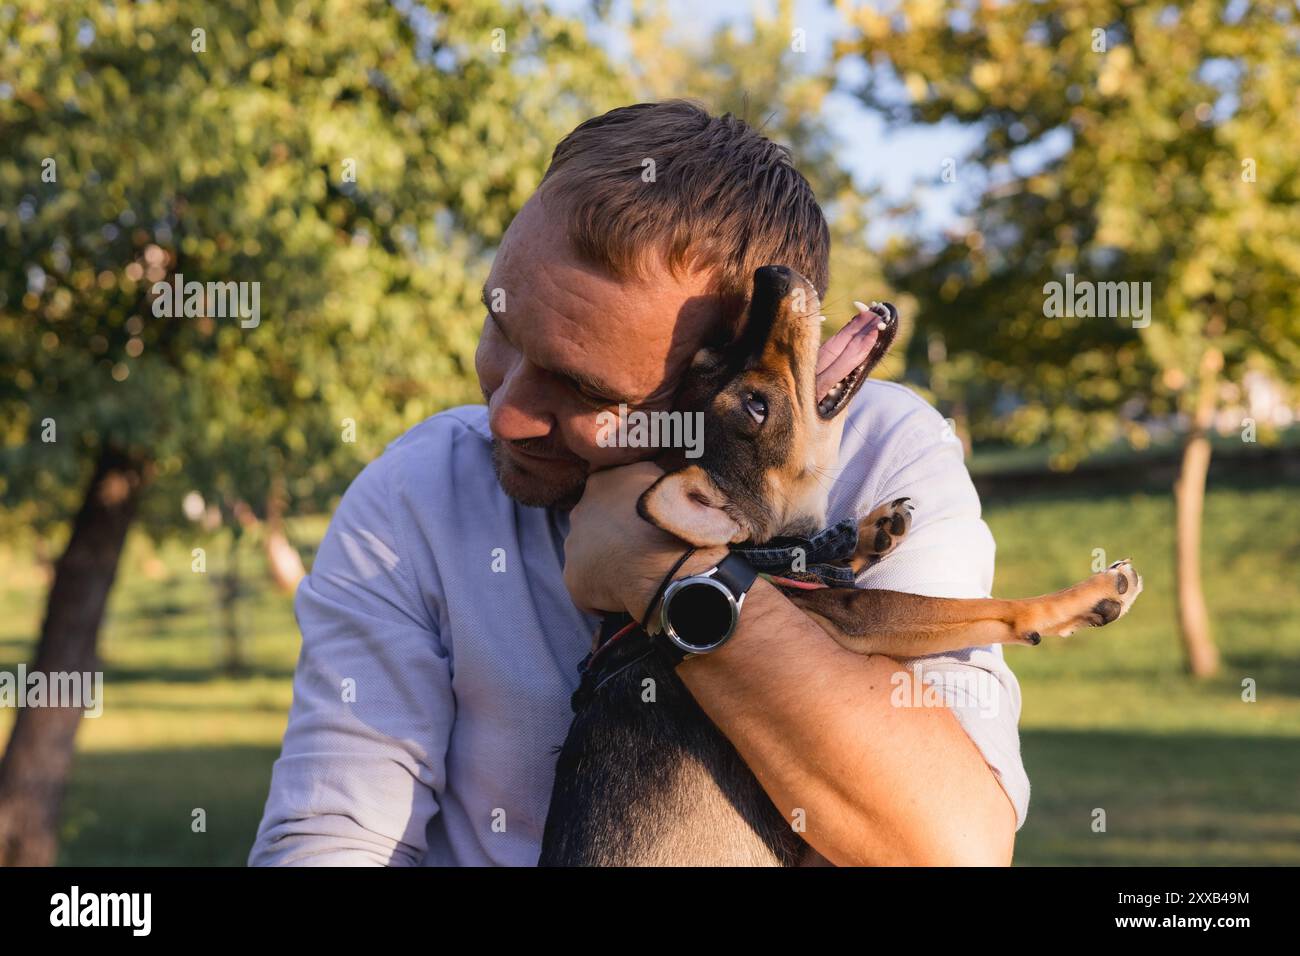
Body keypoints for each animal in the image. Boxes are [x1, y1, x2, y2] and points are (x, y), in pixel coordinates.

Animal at [538, 264, 1138, 868]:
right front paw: (1088, 596)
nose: (770, 276)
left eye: (712, 353)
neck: (758, 556)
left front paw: (871, 530)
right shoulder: (856, 613)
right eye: (756, 407)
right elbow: (980, 608)